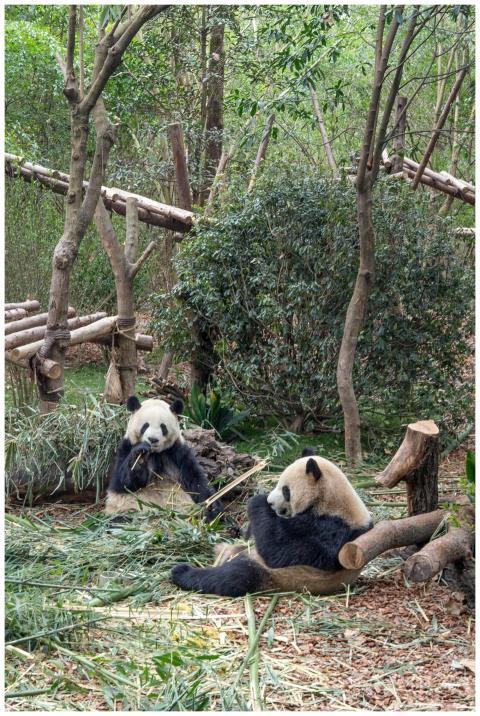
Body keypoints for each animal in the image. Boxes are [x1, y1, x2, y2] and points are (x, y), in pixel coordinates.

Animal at [171, 449, 372, 596]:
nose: (270, 502)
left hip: (276, 576)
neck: (332, 502)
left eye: (285, 490)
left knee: (232, 577)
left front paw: (257, 501)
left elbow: (281, 550)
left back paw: (181, 571)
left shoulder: (332, 531)